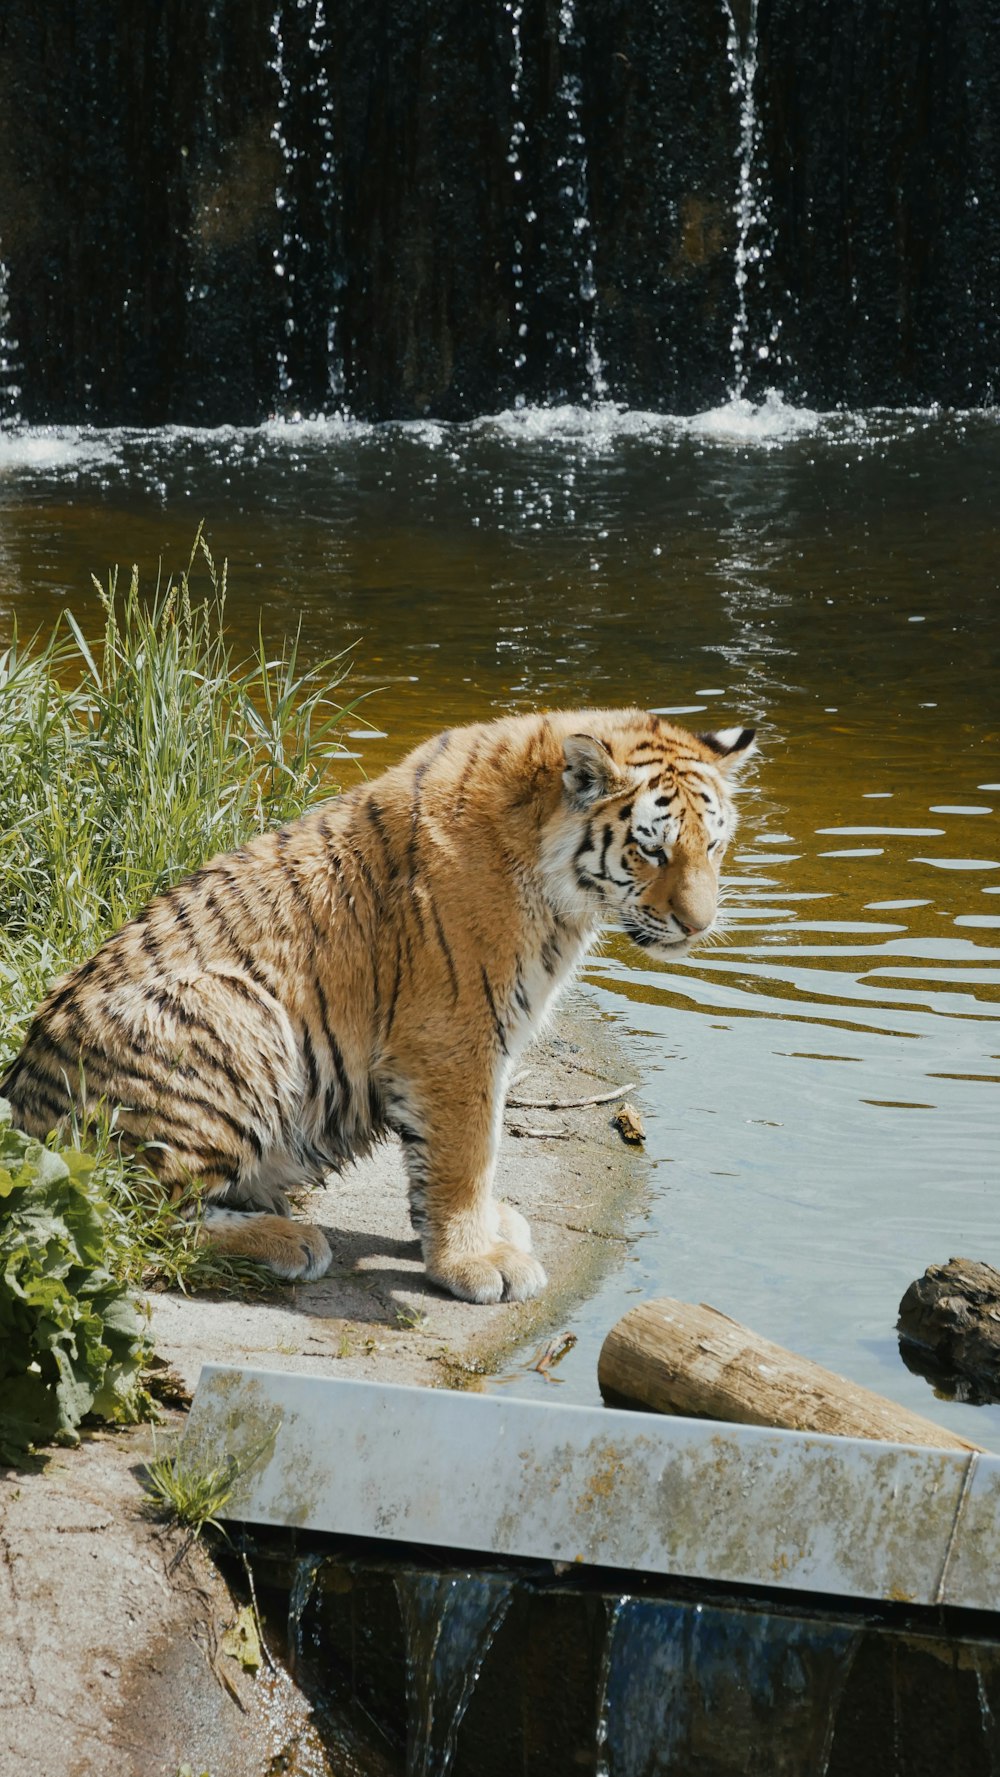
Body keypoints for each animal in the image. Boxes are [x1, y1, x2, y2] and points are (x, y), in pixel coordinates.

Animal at [0, 707, 753, 1307]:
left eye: (713, 845)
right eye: (651, 849)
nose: (699, 926)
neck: (559, 886)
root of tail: (22, 1107)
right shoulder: (456, 1036)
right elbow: (467, 1152)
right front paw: (475, 1262)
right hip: (233, 1012)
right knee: (132, 1216)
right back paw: (288, 1238)